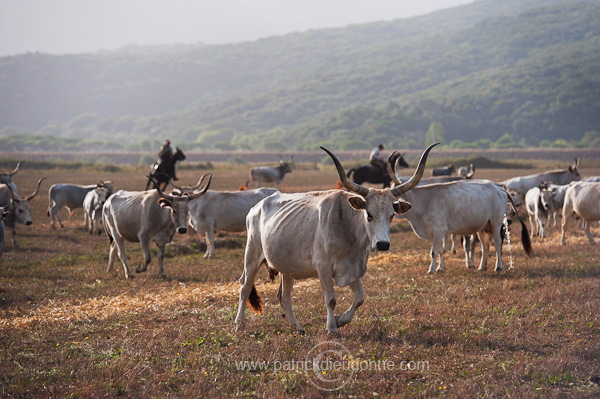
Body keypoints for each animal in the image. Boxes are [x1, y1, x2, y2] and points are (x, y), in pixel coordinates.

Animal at [234, 145, 436, 332]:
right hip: (252, 256)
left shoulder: (354, 268)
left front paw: (341, 320)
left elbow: (360, 298)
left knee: (284, 296)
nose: (383, 244)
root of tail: (257, 206)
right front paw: (331, 328)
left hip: (286, 266)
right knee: (245, 286)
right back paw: (239, 324)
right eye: (369, 214)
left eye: (392, 215)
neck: (348, 230)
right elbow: (331, 299)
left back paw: (297, 327)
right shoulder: (323, 267)